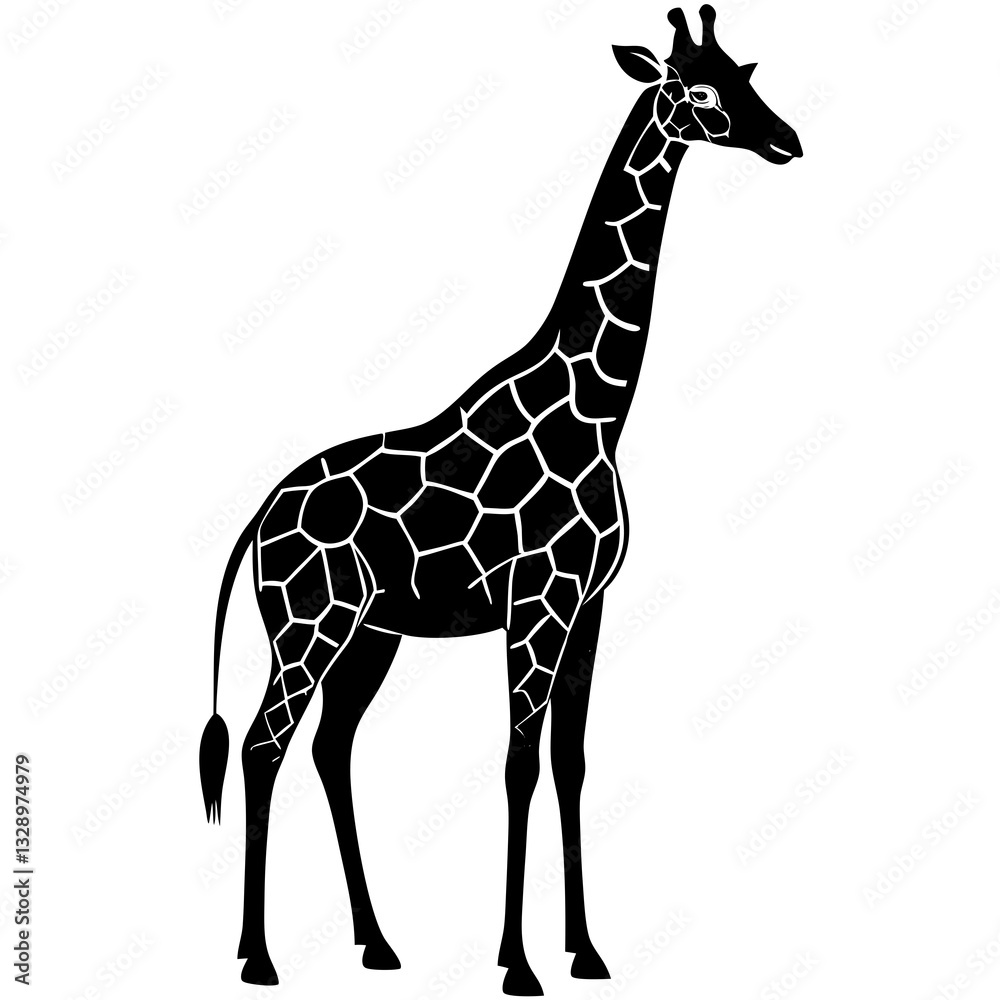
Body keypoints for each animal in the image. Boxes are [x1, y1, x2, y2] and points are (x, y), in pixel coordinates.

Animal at [199, 6, 801, 995]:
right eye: (700, 92)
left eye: (749, 75)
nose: (787, 139)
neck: (598, 410)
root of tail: (260, 516)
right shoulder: (537, 603)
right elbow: (517, 763)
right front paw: (517, 962)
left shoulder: (589, 605)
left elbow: (569, 763)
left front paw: (586, 951)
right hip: (307, 625)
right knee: (262, 745)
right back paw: (257, 956)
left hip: (371, 633)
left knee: (330, 749)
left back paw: (377, 942)